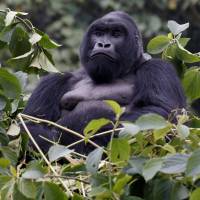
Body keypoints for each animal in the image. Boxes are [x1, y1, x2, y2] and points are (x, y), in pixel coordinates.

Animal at [23, 11, 186, 153]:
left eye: (116, 34)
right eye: (99, 33)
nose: (103, 44)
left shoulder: (159, 68)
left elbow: (162, 114)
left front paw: (73, 130)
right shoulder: (54, 80)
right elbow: (30, 125)